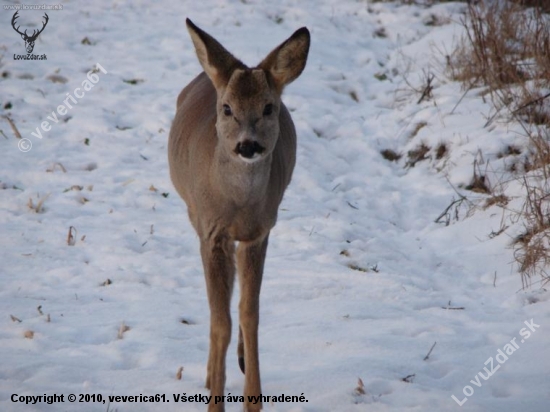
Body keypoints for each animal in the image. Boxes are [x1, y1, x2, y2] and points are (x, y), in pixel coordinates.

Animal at [168, 18, 310, 412]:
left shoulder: (258, 232)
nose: (248, 145)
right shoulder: (211, 232)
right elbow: (221, 322)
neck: (237, 204)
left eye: (268, 107)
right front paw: (215, 402)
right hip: (193, 213)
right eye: (228, 108)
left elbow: (250, 314)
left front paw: (253, 400)